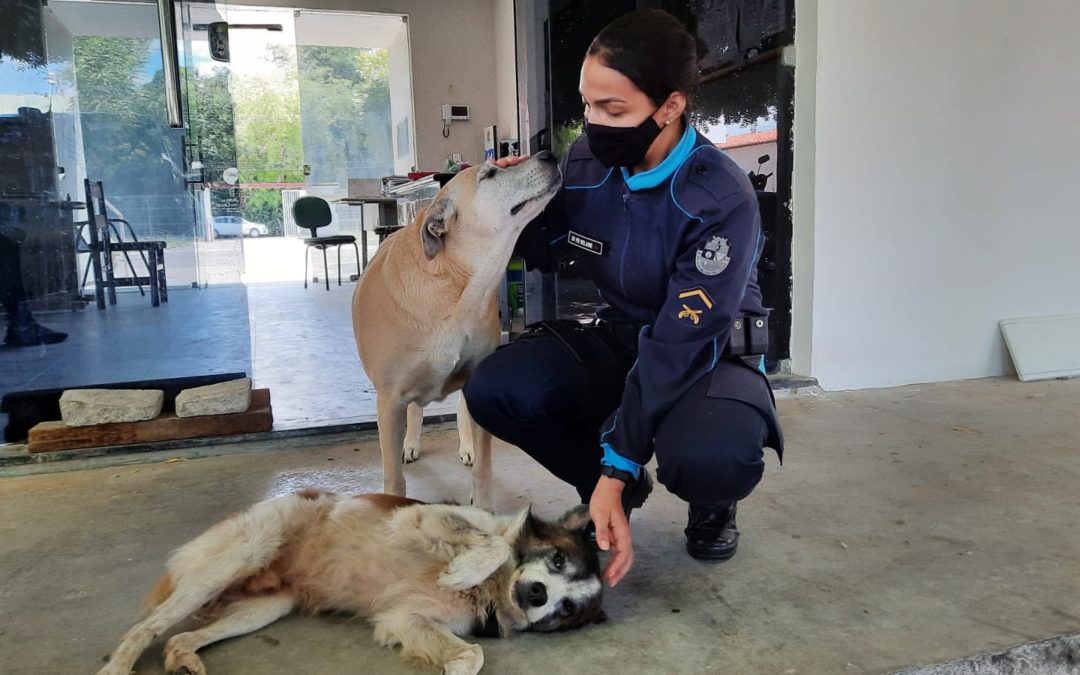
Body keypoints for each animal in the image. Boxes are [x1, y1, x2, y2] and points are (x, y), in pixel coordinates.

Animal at [96, 490, 604, 673]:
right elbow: (493, 543)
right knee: (144, 630)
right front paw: (461, 568)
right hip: (239, 555)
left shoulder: (405, 619)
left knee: (177, 638)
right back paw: (118, 668)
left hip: (266, 606)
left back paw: (184, 661)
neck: (494, 589)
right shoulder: (417, 520)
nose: (538, 594)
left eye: (567, 609)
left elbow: (471, 654)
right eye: (558, 558)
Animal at [352, 154, 561, 509]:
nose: (548, 154)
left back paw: (467, 447)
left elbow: (484, 466)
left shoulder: (475, 378)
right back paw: (411, 443)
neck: (458, 291)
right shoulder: (389, 400)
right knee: (415, 411)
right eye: (489, 175)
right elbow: (394, 476)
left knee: (462, 412)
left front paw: (484, 504)